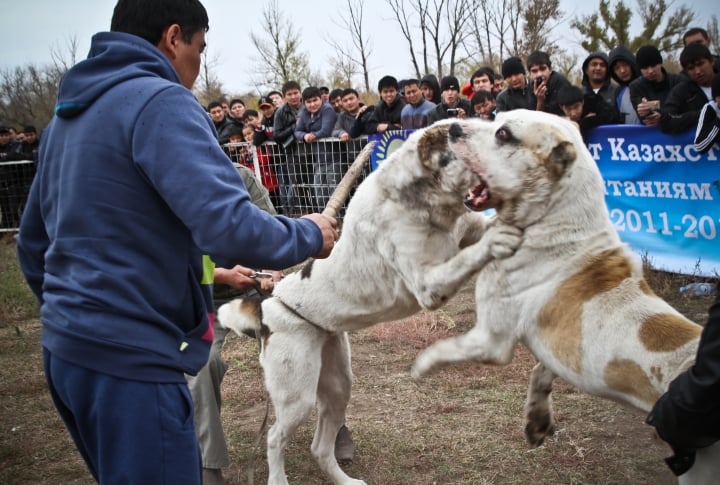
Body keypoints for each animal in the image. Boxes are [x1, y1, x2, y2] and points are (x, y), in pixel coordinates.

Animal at [217, 118, 520, 484]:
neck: (421, 200)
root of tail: (268, 306)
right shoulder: (429, 286)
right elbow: (475, 251)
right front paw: (503, 236)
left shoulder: (469, 230)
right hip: (297, 395)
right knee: (275, 438)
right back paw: (279, 479)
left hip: (337, 385)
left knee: (320, 447)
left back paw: (344, 481)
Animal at [410, 110, 720, 484]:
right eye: (497, 117)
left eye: (503, 134)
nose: (453, 126)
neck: (553, 219)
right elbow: (541, 372)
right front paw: (537, 422)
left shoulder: (490, 341)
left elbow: (445, 349)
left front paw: (422, 365)